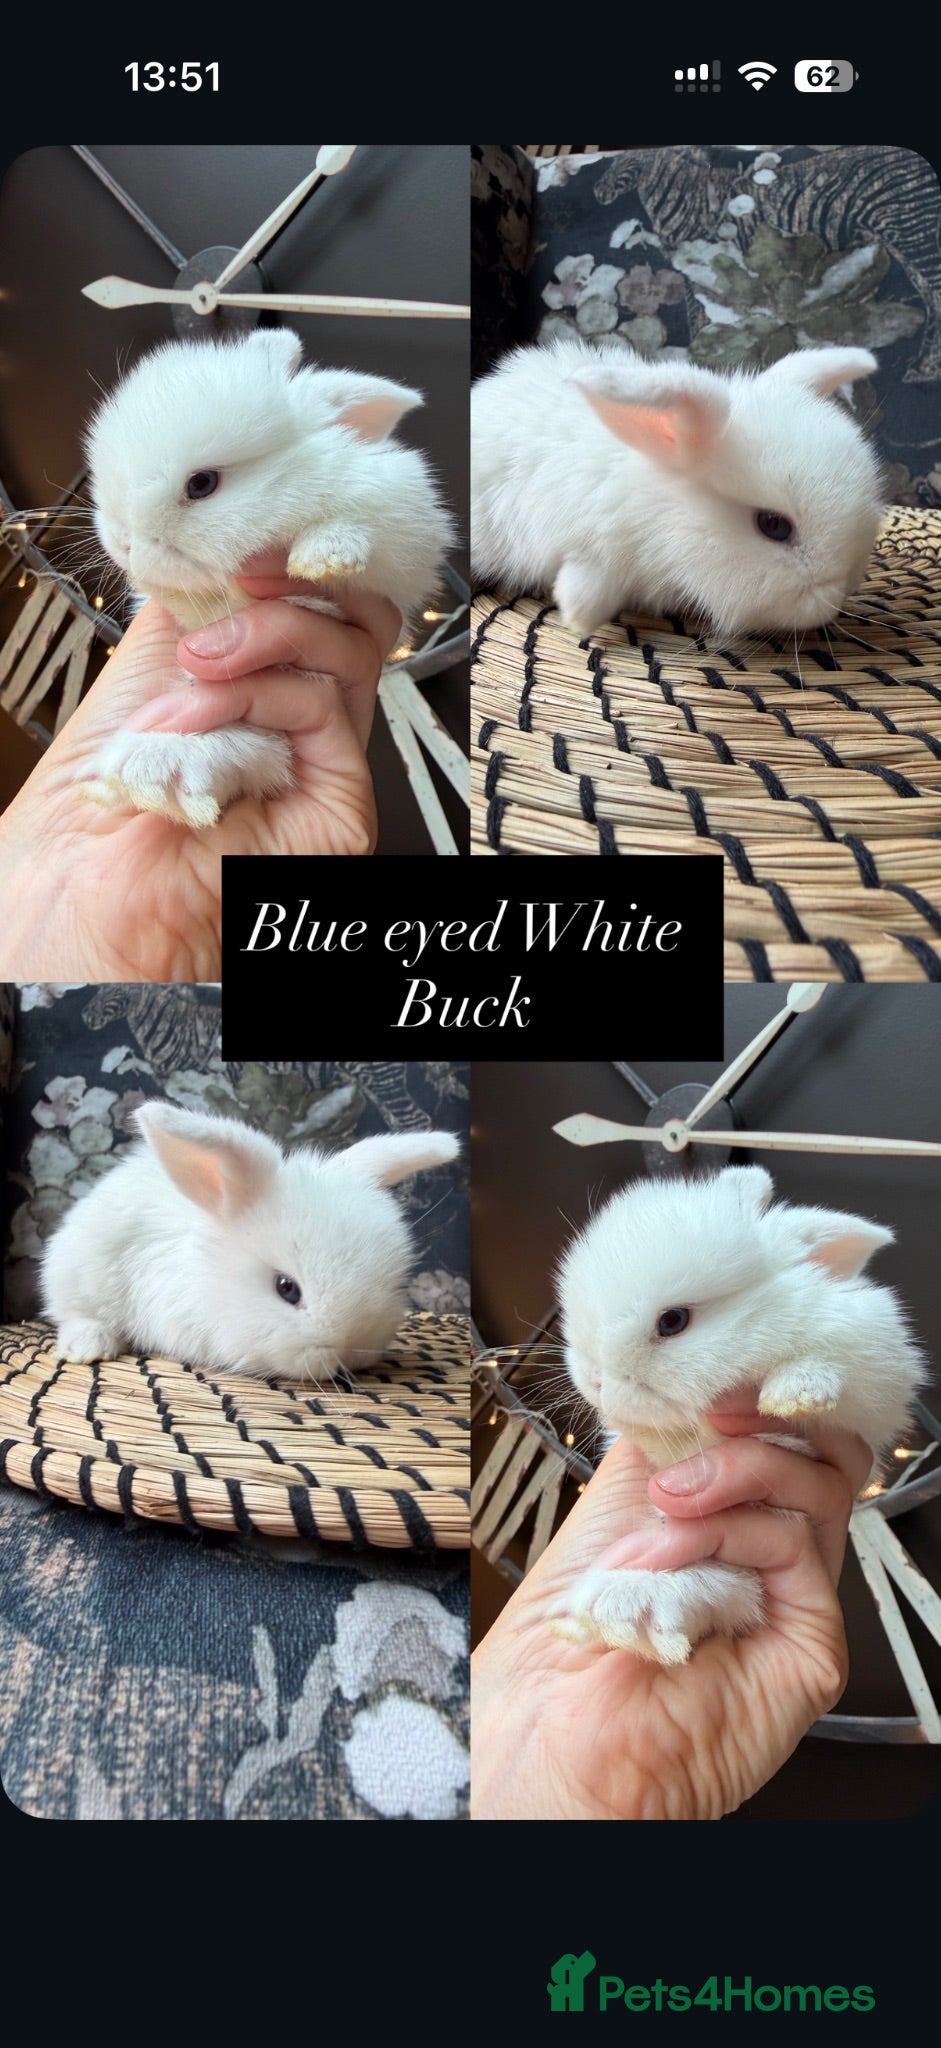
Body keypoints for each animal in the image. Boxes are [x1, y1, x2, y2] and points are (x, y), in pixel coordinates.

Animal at [81, 327, 454, 827]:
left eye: (202, 483)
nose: (122, 543)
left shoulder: (404, 540)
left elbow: (363, 538)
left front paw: (323, 556)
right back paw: (150, 774)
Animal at [553, 1165, 927, 1665]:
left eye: (673, 1320)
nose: (594, 1380)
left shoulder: (876, 1375)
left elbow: (835, 1374)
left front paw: (795, 1392)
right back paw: (621, 1612)